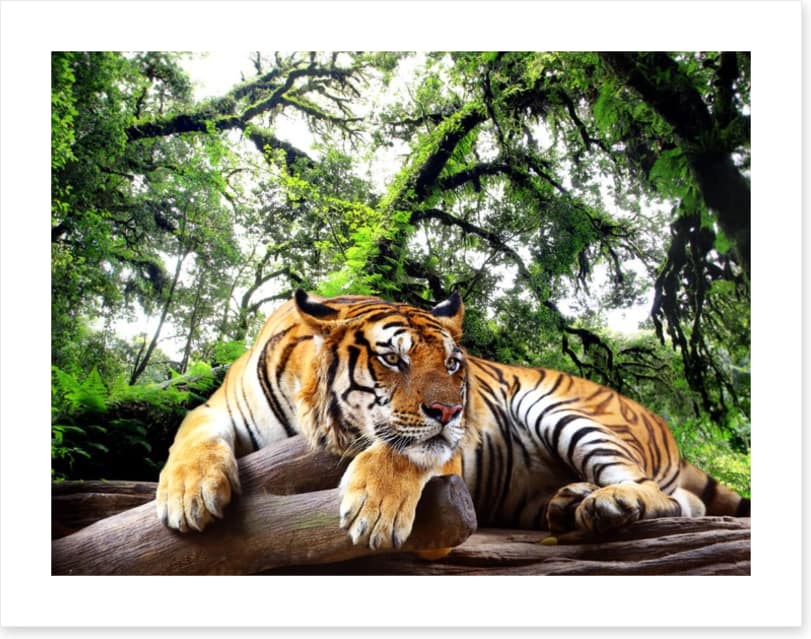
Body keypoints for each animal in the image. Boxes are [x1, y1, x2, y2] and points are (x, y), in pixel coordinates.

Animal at [156, 290, 750, 551]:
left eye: (451, 364)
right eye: (392, 358)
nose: (449, 410)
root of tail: (664, 426)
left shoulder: (445, 447)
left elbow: (404, 451)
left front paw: (374, 510)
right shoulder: (215, 408)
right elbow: (190, 435)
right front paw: (188, 495)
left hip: (564, 411)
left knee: (659, 493)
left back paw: (607, 504)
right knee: (684, 501)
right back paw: (570, 502)